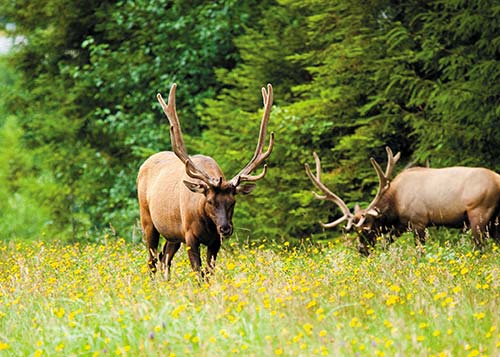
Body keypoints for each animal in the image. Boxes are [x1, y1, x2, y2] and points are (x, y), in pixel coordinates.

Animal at [137, 82, 276, 276]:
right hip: (148, 221)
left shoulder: (215, 241)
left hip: (173, 234)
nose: (225, 228)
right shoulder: (189, 235)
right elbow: (198, 271)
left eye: (233, 201)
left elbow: (209, 271)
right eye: (210, 201)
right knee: (151, 260)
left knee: (165, 258)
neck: (208, 224)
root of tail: (143, 164)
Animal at [304, 147, 500, 253]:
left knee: (480, 245)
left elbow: (420, 250)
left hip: (479, 214)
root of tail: (497, 179)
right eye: (355, 231)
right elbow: (386, 243)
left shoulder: (419, 221)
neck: (395, 206)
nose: (361, 250)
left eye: (367, 228)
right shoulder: (402, 224)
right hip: (495, 219)